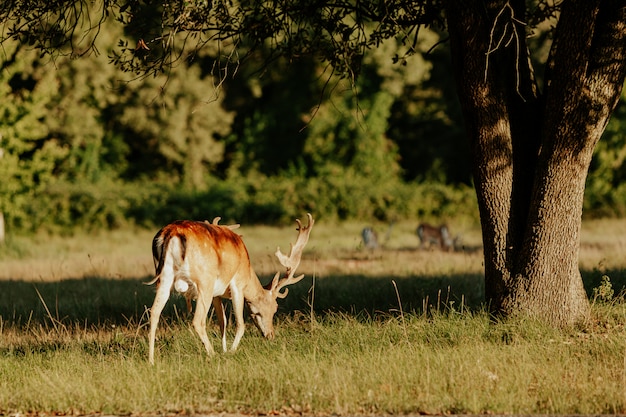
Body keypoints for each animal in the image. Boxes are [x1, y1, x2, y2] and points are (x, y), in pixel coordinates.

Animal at [145, 213, 312, 362]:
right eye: (274, 307)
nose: (271, 335)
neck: (248, 270)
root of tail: (171, 234)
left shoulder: (216, 295)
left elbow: (223, 322)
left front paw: (225, 350)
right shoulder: (238, 283)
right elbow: (240, 324)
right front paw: (231, 351)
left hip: (164, 278)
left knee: (154, 312)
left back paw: (151, 360)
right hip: (204, 281)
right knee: (198, 320)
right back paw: (212, 354)